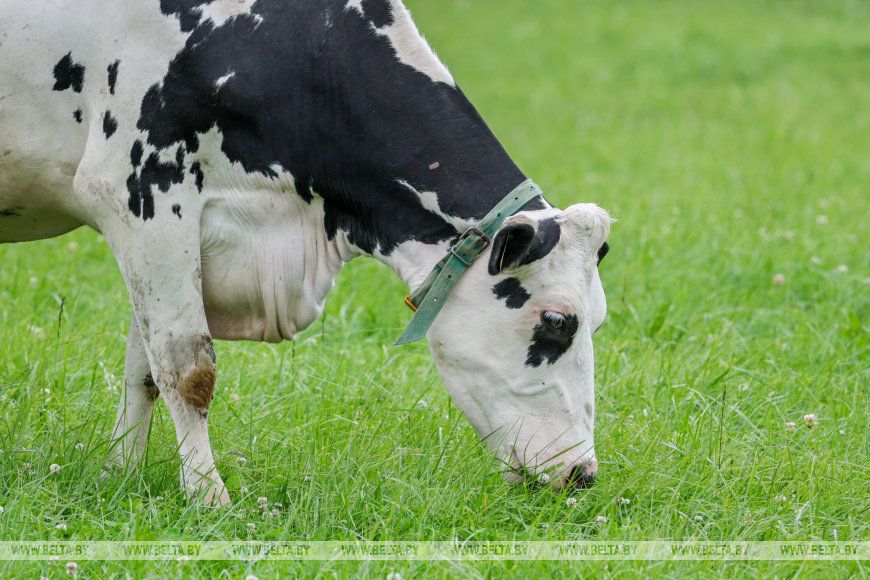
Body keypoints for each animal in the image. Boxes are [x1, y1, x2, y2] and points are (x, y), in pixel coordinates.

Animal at [0, 0, 612, 506]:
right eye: (557, 320)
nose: (582, 474)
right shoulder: (139, 189)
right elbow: (186, 367)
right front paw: (208, 497)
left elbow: (144, 368)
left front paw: (120, 475)